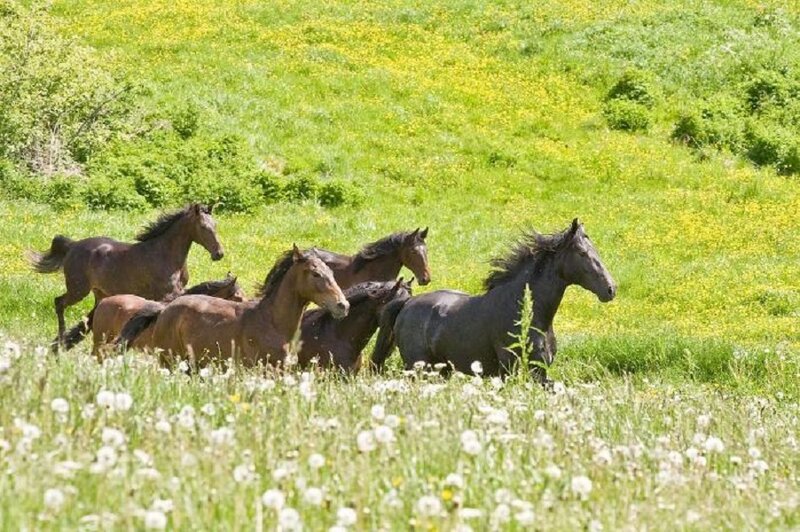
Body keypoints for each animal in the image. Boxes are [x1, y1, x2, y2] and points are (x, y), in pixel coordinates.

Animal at [28, 203, 224, 348]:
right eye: (203, 227)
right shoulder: (168, 293)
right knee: (59, 302)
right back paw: (60, 338)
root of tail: (73, 245)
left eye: (216, 226)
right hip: (78, 290)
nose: (219, 254)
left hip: (100, 293)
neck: (165, 255)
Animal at [116, 245, 349, 368]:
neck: (272, 322)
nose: (343, 305)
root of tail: (164, 310)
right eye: (316, 274)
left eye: (331, 272)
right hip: (172, 361)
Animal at [370, 219, 616, 383]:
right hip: (419, 367)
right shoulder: (510, 370)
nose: (611, 289)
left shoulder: (540, 370)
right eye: (582, 252)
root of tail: (407, 304)